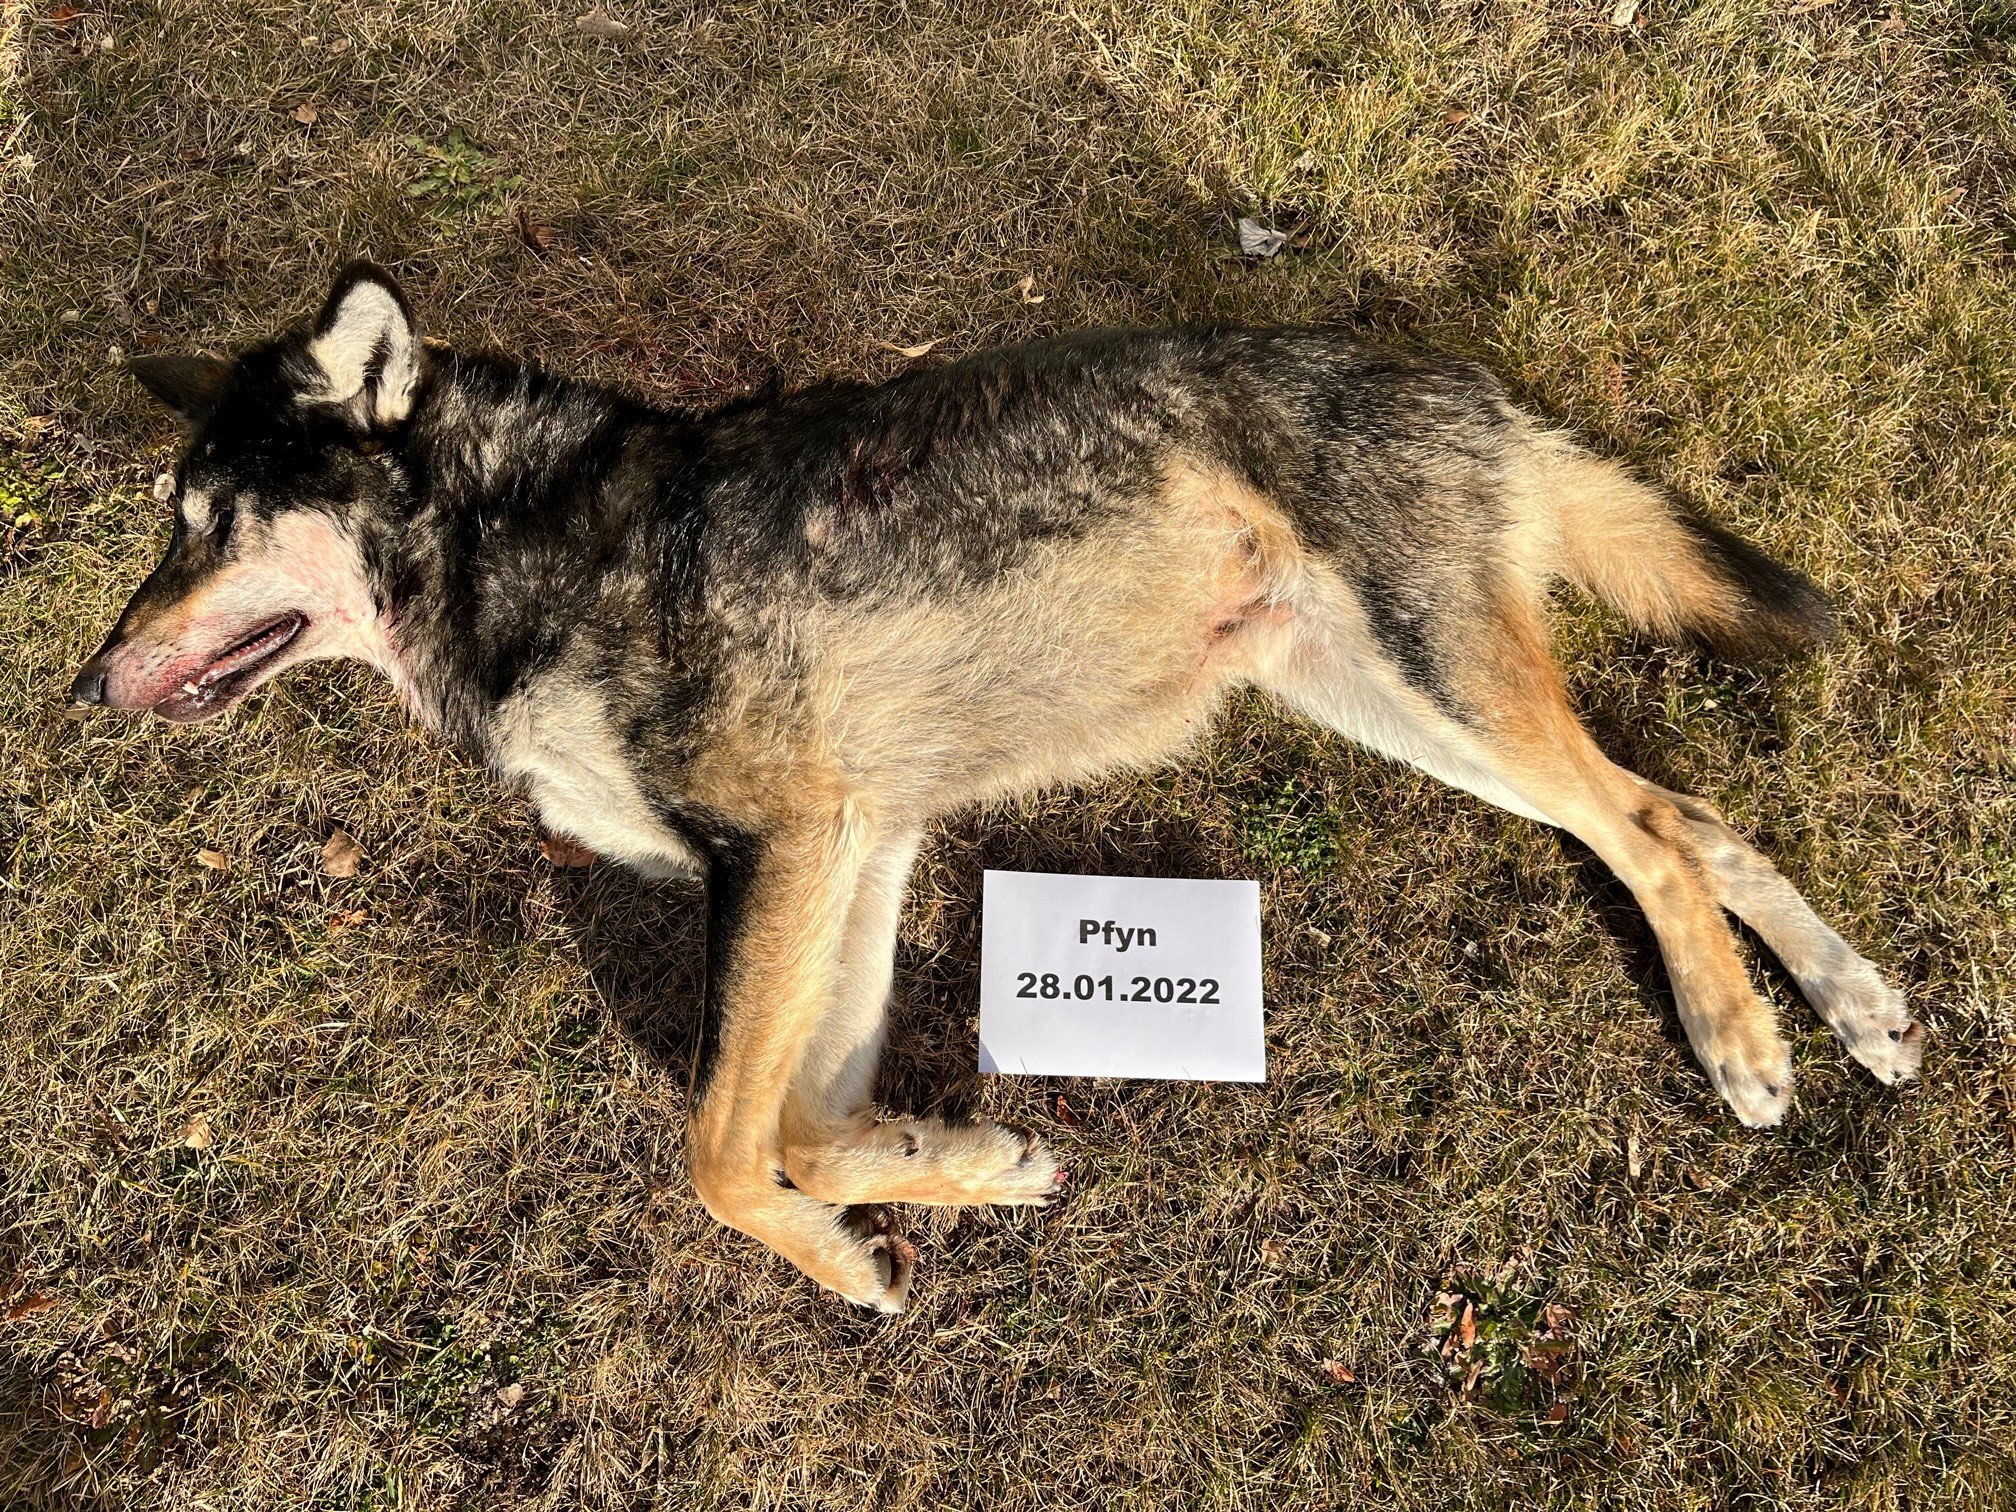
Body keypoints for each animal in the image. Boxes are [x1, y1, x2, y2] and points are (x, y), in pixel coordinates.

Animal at [71, 264, 1922, 1310]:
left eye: (204, 525)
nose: (86, 684)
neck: (517, 547)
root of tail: (1464, 380)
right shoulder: (857, 846)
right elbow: (802, 1130)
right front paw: (956, 1166)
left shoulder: (789, 844)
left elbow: (723, 1154)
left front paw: (858, 1254)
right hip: (1402, 709)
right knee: (1692, 814)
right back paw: (1858, 1007)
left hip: (1437, 685)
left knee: (1651, 828)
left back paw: (1743, 1040)